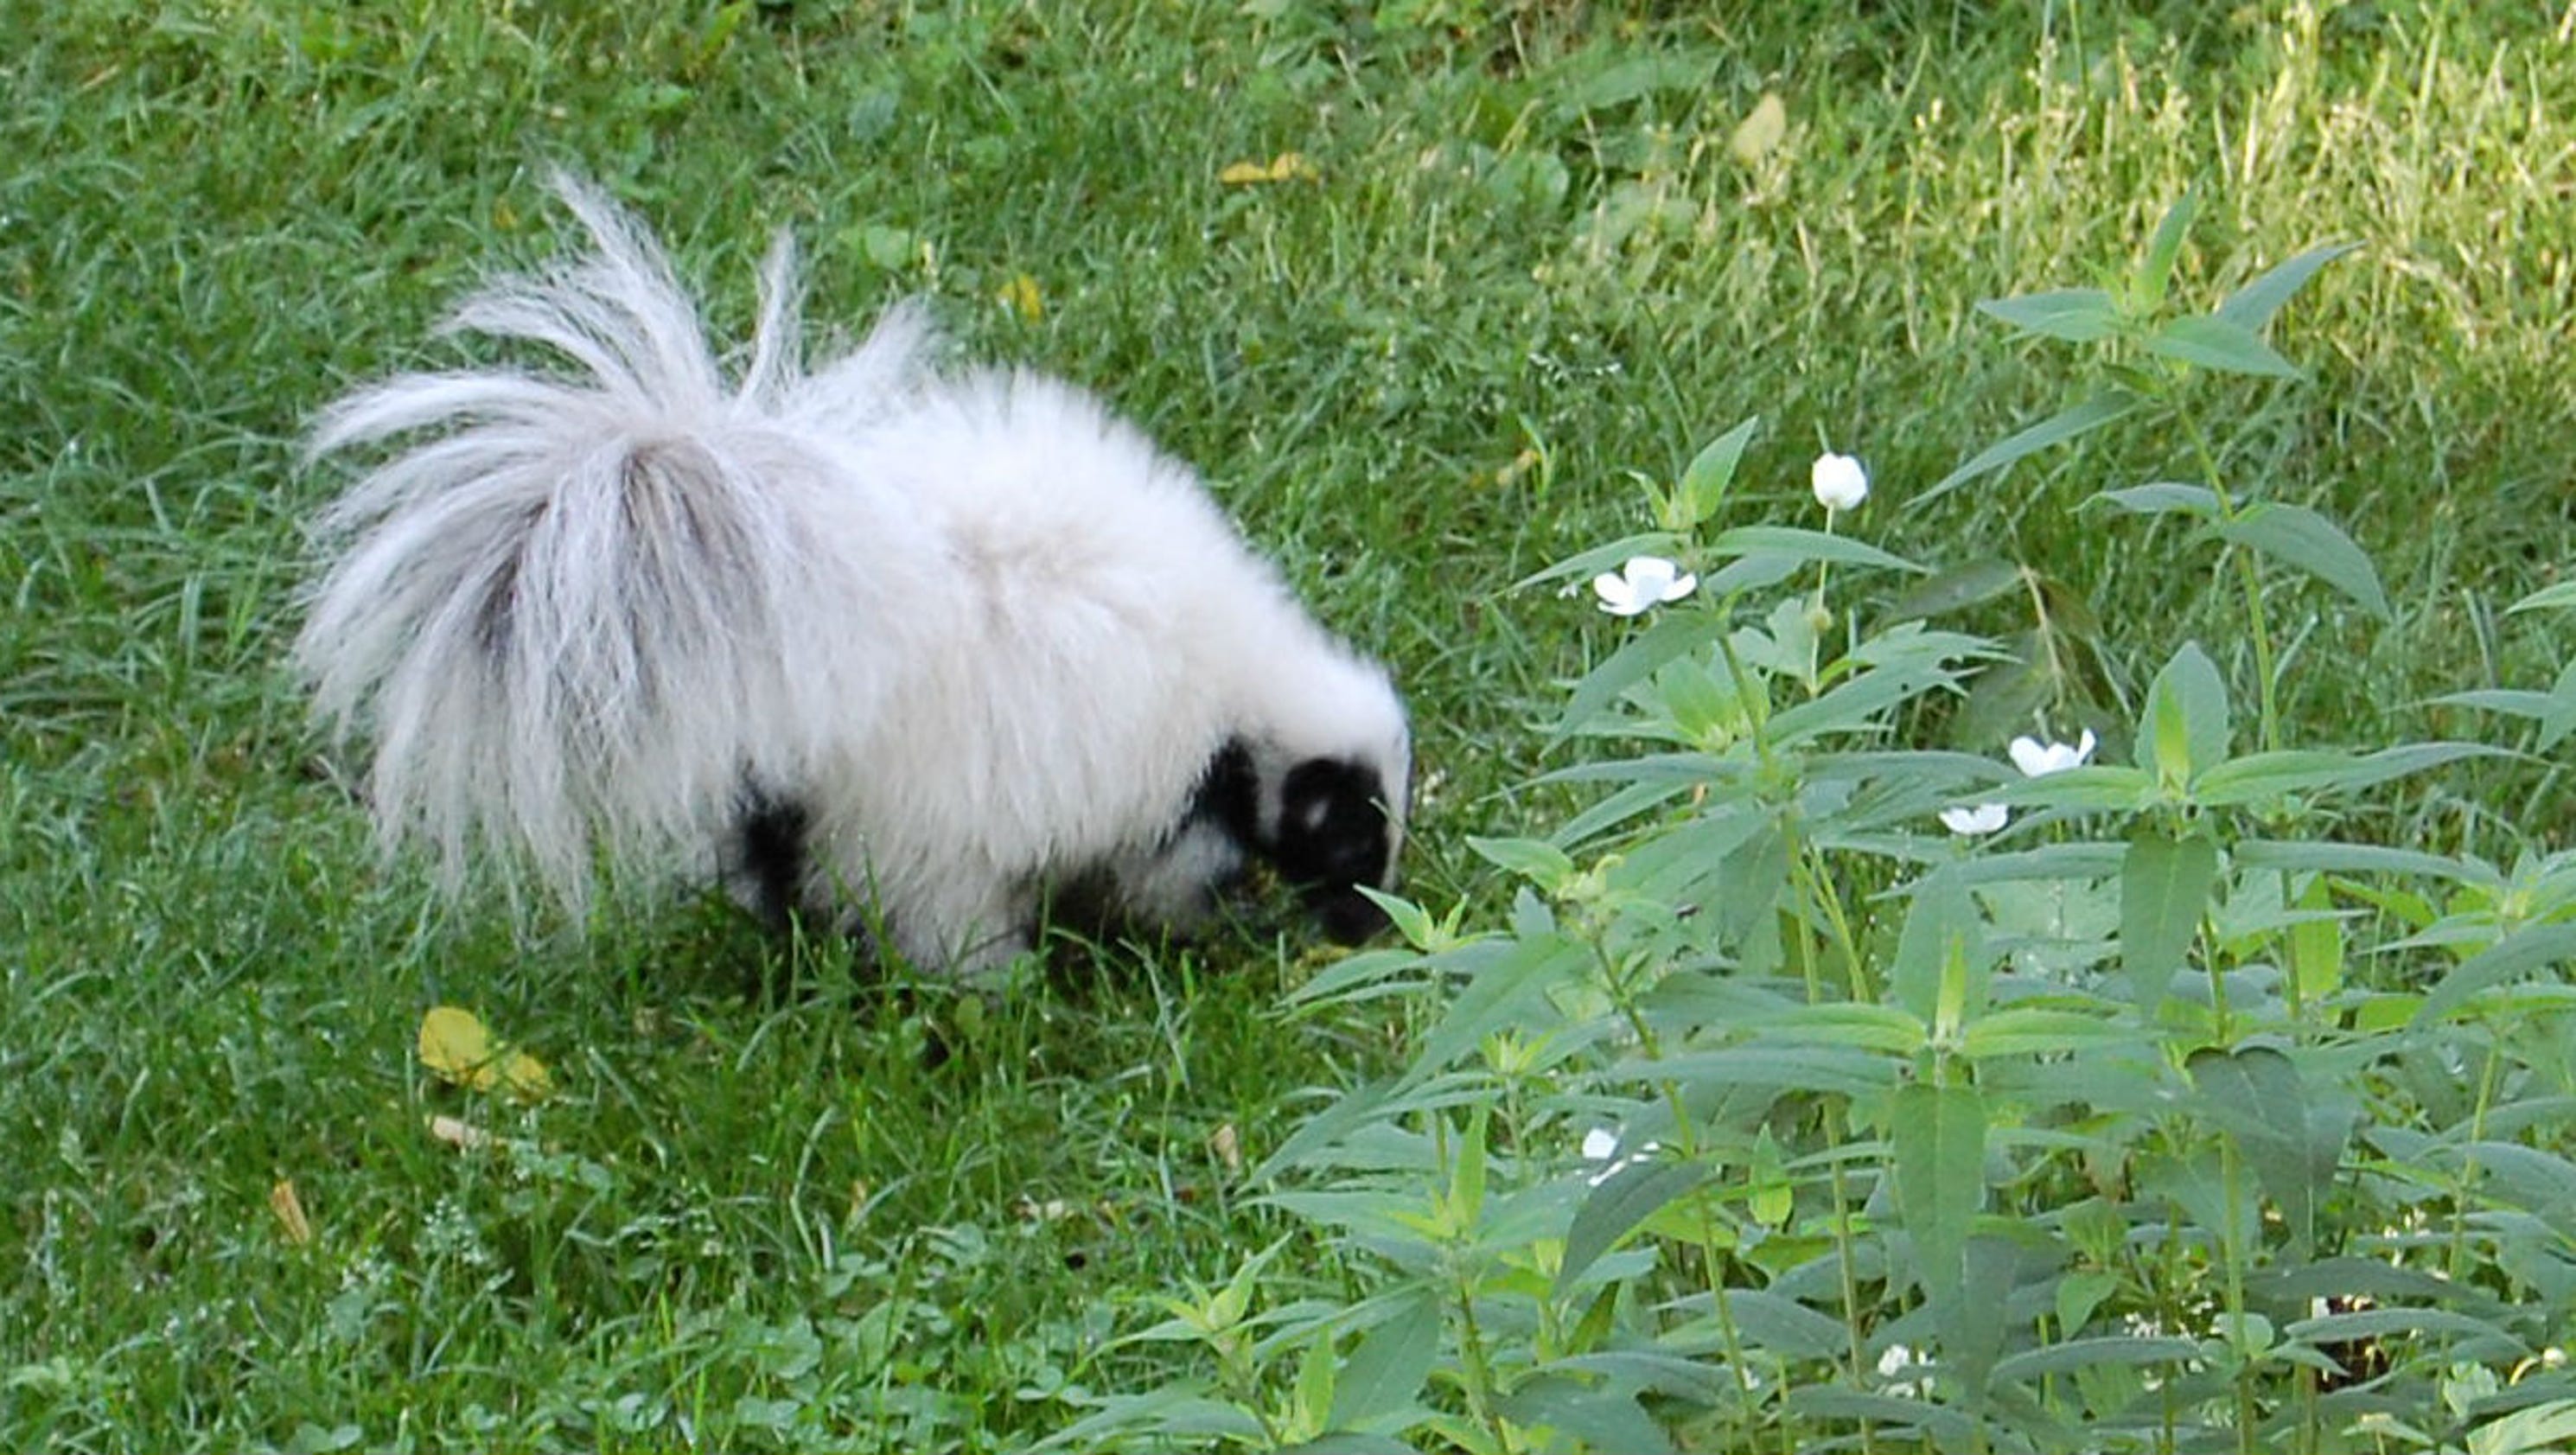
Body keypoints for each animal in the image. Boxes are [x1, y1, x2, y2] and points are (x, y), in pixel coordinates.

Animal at [298, 172, 1412, 973]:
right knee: (932, 900)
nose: (1372, 922)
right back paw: (989, 987)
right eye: (1351, 838)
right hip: (912, 794)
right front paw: (1204, 927)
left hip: (788, 764)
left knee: (776, 853)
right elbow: (1165, 868)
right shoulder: (1169, 771)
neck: (1244, 676)